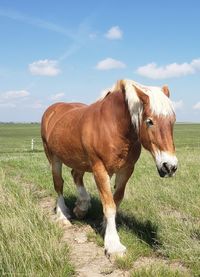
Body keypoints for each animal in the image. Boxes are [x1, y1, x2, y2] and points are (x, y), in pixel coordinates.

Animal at [41, 78, 178, 256]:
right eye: (149, 121)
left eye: (173, 120)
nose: (170, 166)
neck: (113, 126)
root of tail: (53, 109)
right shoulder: (100, 169)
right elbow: (110, 205)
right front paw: (113, 245)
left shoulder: (126, 170)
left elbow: (115, 200)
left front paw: (104, 227)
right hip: (53, 157)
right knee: (59, 184)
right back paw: (63, 216)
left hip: (79, 159)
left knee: (76, 175)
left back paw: (81, 207)